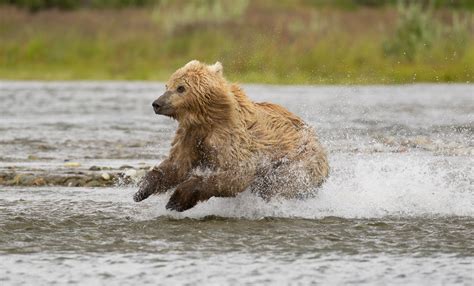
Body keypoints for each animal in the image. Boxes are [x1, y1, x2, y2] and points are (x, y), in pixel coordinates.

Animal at [131, 60, 328, 211]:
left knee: (278, 185)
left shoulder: (229, 135)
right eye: (167, 85)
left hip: (299, 162)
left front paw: (177, 199)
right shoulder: (190, 134)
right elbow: (177, 165)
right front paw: (141, 189)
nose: (157, 103)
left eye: (181, 88)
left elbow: (238, 171)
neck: (206, 118)